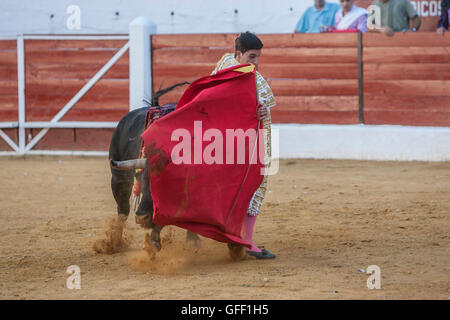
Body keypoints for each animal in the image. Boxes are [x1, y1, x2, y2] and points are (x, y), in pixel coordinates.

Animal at [107, 83, 200, 252]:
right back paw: (115, 243)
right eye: (143, 182)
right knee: (122, 210)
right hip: (118, 179)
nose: (141, 217)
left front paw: (193, 240)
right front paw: (154, 243)